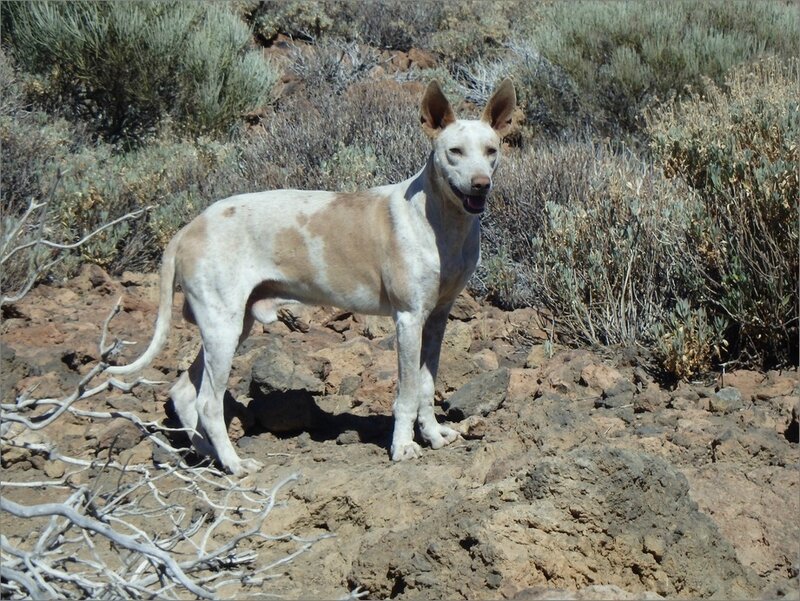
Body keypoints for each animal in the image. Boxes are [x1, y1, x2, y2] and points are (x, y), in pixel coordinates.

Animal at [106, 78, 516, 474]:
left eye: (491, 150)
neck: (441, 221)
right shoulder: (408, 318)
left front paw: (431, 434)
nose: (481, 184)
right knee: (207, 402)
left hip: (232, 326)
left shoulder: (436, 318)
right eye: (454, 151)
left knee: (183, 393)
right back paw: (235, 464)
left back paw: (210, 457)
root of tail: (189, 227)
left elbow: (427, 386)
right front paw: (402, 446)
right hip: (223, 326)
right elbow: (407, 392)